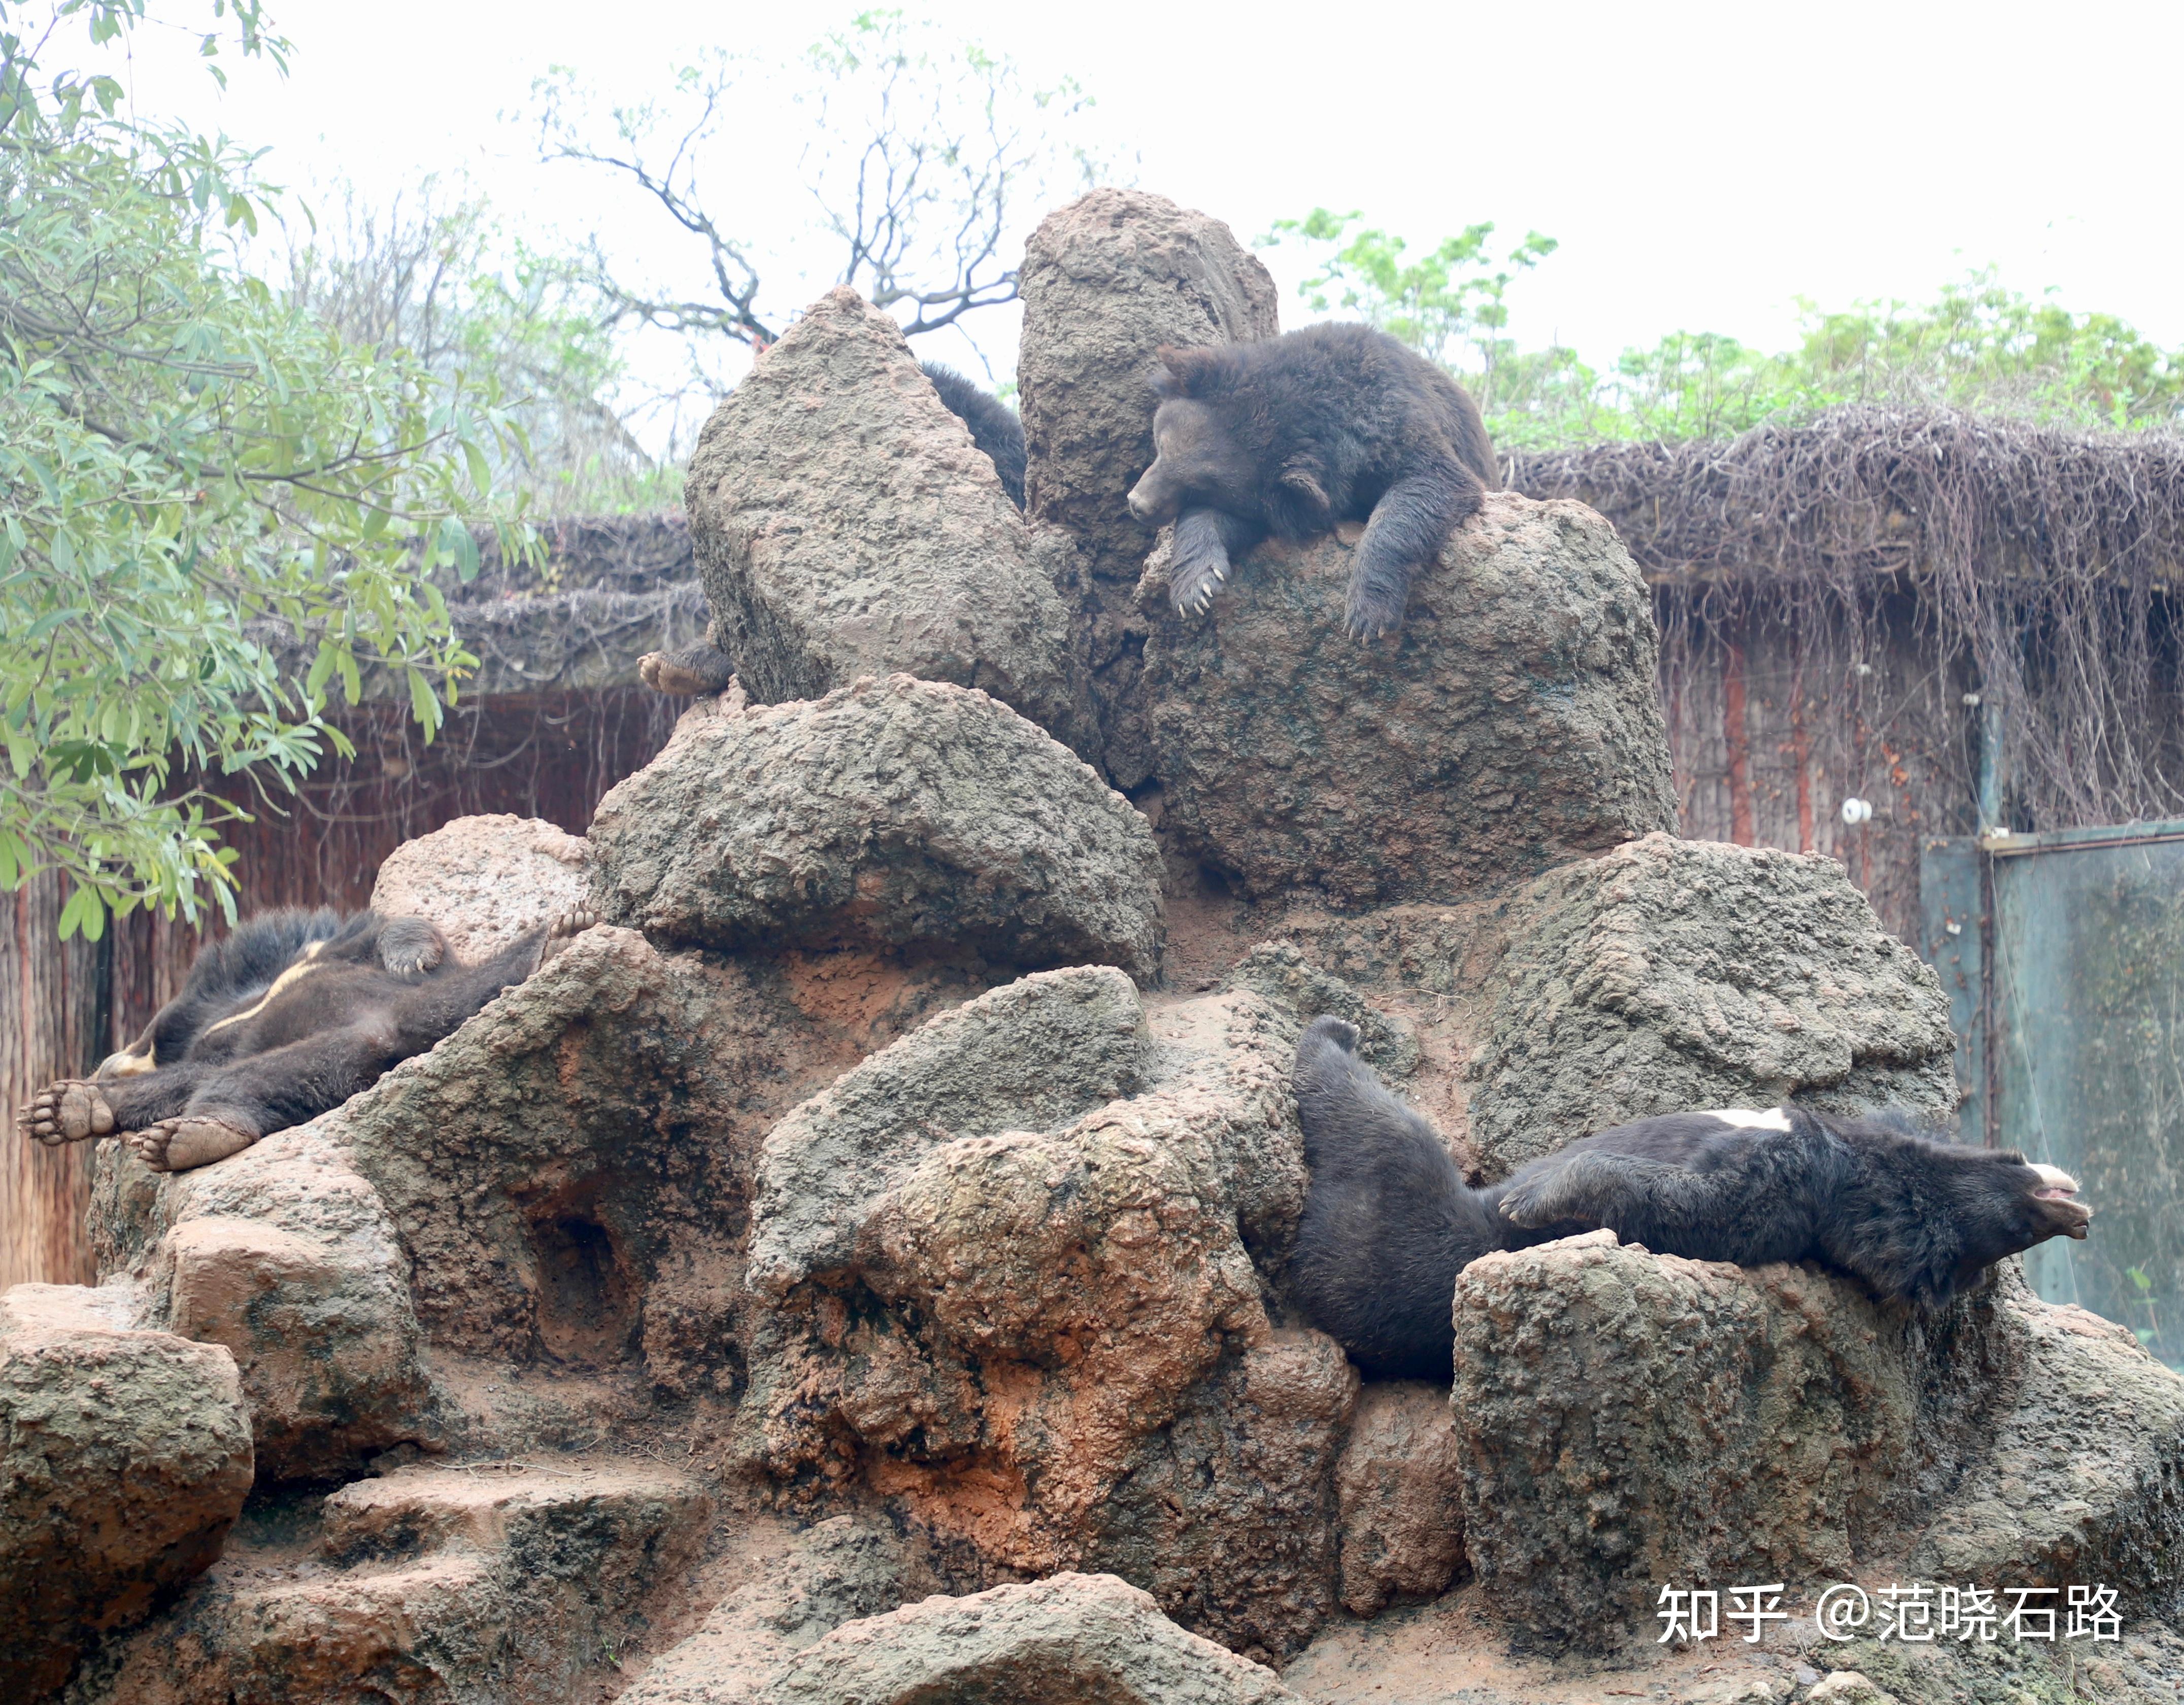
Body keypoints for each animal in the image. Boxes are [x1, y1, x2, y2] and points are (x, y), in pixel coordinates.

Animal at [21, 904, 585, 1170]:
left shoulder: (322, 952)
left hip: (427, 1004)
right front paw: (66, 1106)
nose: (106, 1061)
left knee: (487, 974)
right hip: (331, 1061)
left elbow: (393, 930)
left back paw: (564, 935)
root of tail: (391, 1029)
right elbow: (188, 1075)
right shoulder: (222, 1041)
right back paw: (179, 1135)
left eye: (143, 1040)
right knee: (252, 1081)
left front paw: (414, 956)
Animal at [1127, 319, 1502, 637]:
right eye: (1162, 444)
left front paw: (1367, 614)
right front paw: (1197, 587)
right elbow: (1234, 522)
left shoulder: (1397, 422)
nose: (1137, 504)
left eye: (1200, 484)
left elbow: (1433, 481)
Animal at [1284, 1017, 2088, 1379]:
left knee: (1376, 1135)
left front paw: (1540, 1194)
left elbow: (1690, 1204)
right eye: (2014, 1166)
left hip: (1402, 1232)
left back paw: (1331, 1035)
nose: (2076, 1212)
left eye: (2010, 1225)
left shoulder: (1786, 1182)